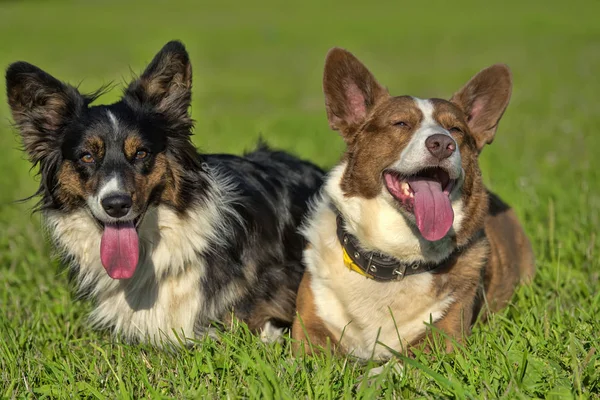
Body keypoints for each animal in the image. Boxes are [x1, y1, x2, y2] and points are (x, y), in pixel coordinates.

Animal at [290, 47, 536, 360]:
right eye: (401, 124)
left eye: (456, 130)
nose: (442, 144)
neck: (392, 257)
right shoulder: (308, 329)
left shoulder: (443, 338)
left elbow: (393, 365)